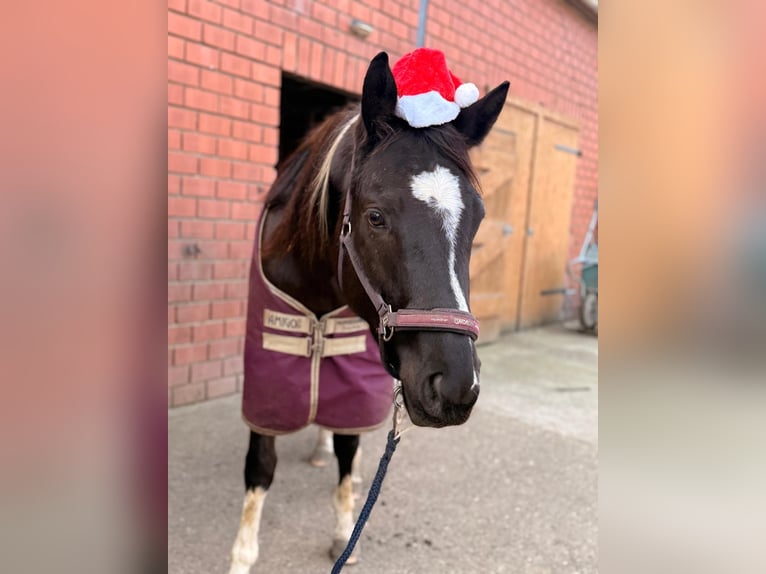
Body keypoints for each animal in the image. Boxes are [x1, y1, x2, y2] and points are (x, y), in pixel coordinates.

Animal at [228, 52, 509, 573]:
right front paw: (241, 553)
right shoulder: (271, 360)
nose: (456, 387)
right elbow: (261, 461)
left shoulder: (351, 362)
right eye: (375, 216)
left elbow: (348, 442)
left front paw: (344, 530)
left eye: (478, 219)